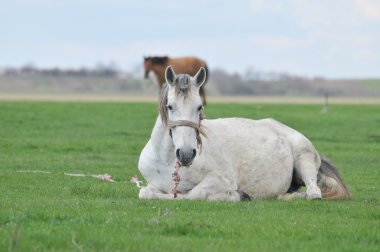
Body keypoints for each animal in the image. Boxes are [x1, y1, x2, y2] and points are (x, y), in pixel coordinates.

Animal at [137, 67, 350, 201]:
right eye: (170, 106)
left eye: (199, 107)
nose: (187, 154)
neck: (167, 162)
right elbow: (146, 193)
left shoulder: (220, 180)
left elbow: (193, 195)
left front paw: (235, 195)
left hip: (304, 159)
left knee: (314, 191)